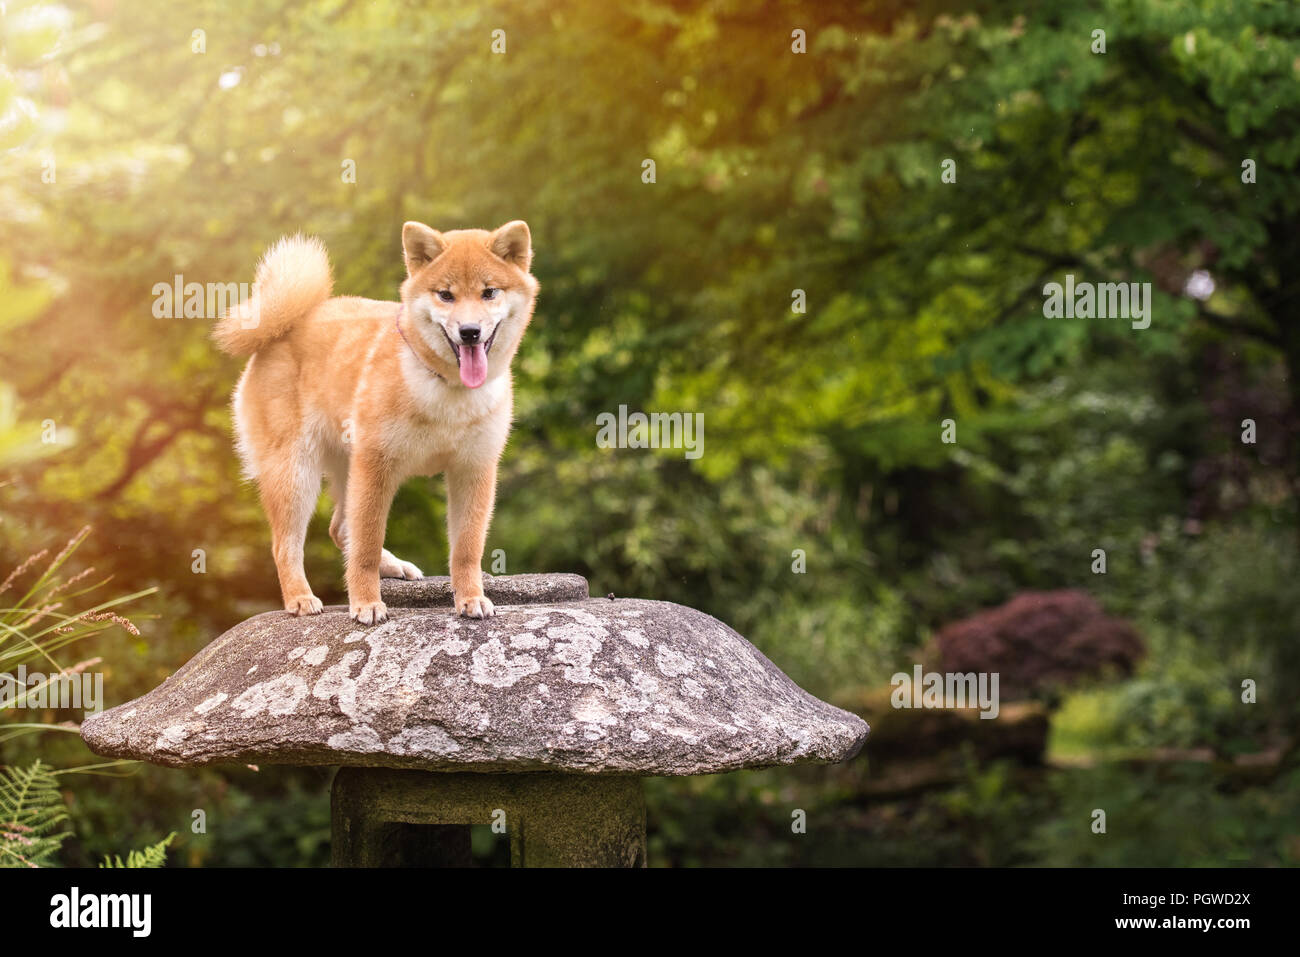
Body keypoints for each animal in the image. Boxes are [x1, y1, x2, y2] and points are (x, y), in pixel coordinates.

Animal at [213, 217, 538, 624]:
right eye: (445, 295)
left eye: (489, 292)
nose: (469, 332)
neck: (446, 389)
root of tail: (284, 327)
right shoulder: (376, 465)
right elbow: (366, 545)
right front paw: (366, 602)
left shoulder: (473, 468)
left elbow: (467, 549)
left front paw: (471, 597)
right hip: (296, 473)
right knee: (288, 545)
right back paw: (300, 598)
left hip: (345, 467)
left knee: (339, 530)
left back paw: (395, 565)